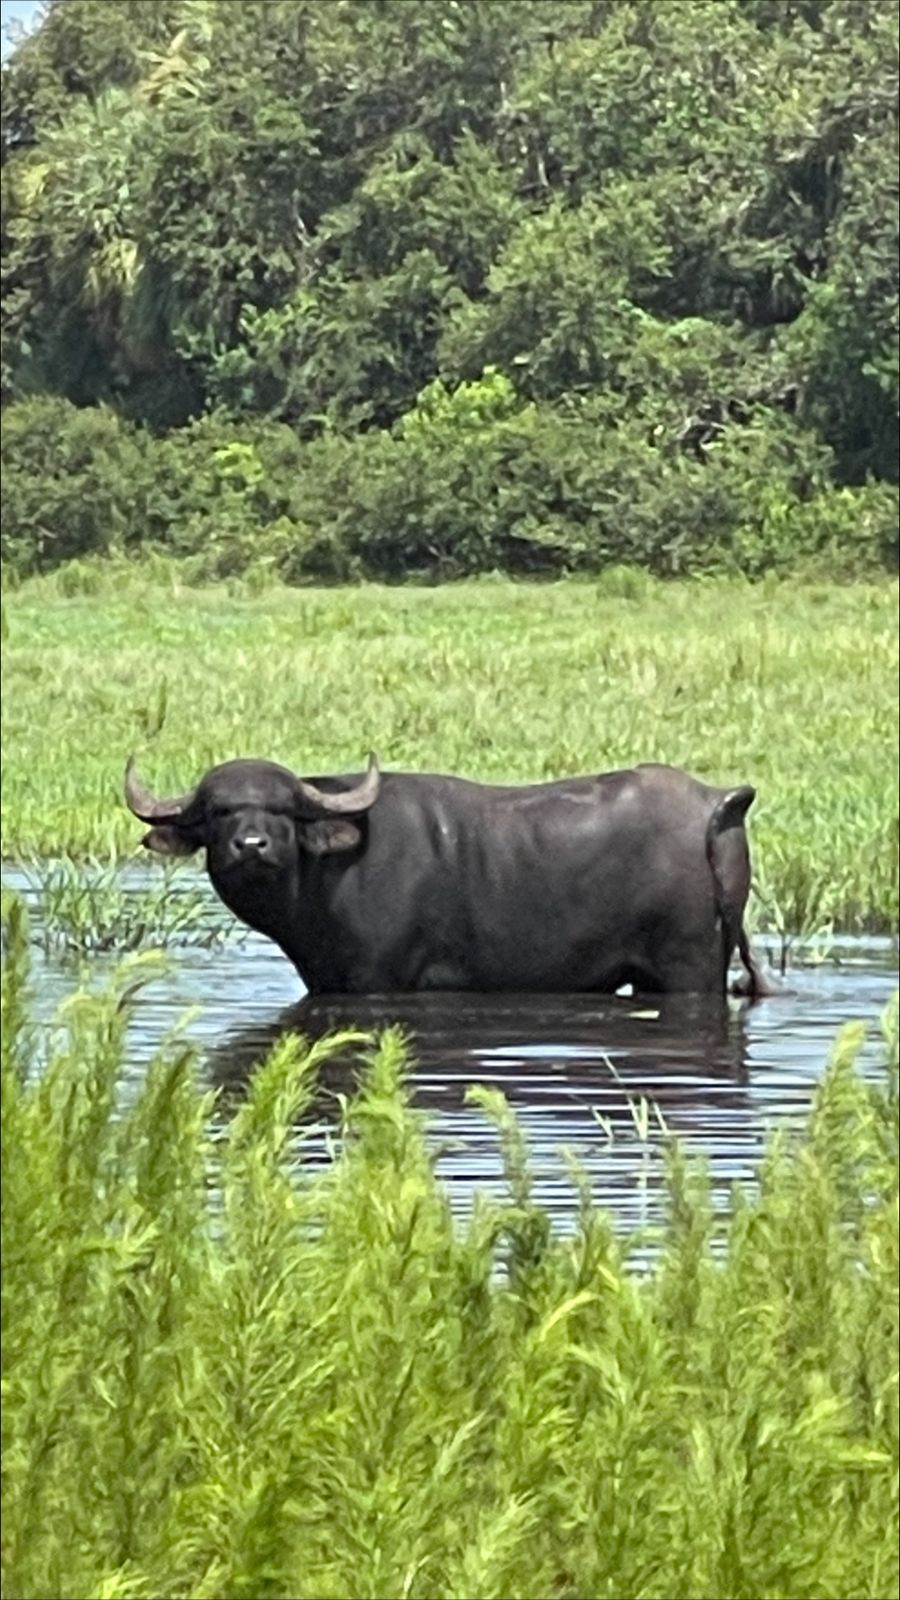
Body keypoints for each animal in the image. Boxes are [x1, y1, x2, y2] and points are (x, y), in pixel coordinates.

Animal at [124, 754, 771, 998]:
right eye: (219, 812)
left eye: (281, 811)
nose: (251, 846)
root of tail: (717, 804)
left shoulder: (379, 982)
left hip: (689, 968)